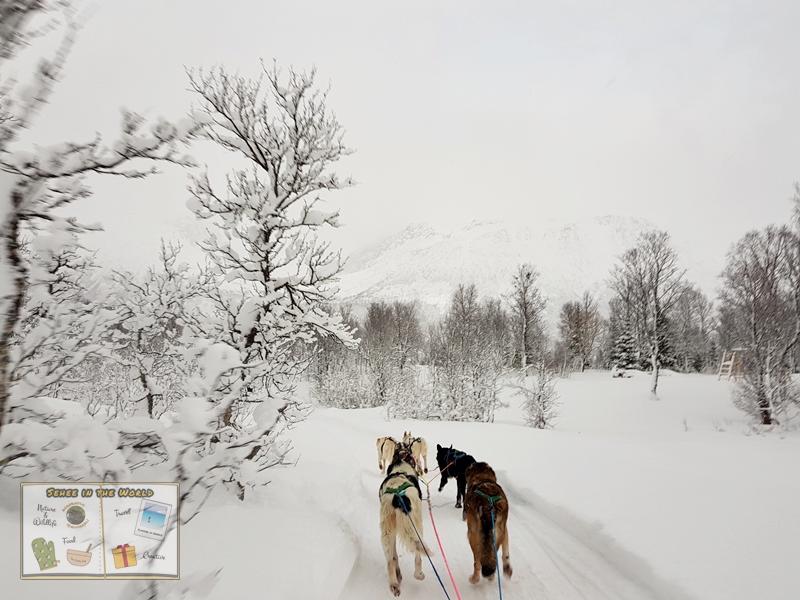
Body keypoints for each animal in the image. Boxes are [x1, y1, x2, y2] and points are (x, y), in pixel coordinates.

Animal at [378, 440, 428, 596]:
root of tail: (398, 497)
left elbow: (394, 556)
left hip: (386, 533)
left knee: (390, 562)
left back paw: (395, 583)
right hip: (417, 528)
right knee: (418, 557)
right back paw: (419, 575)